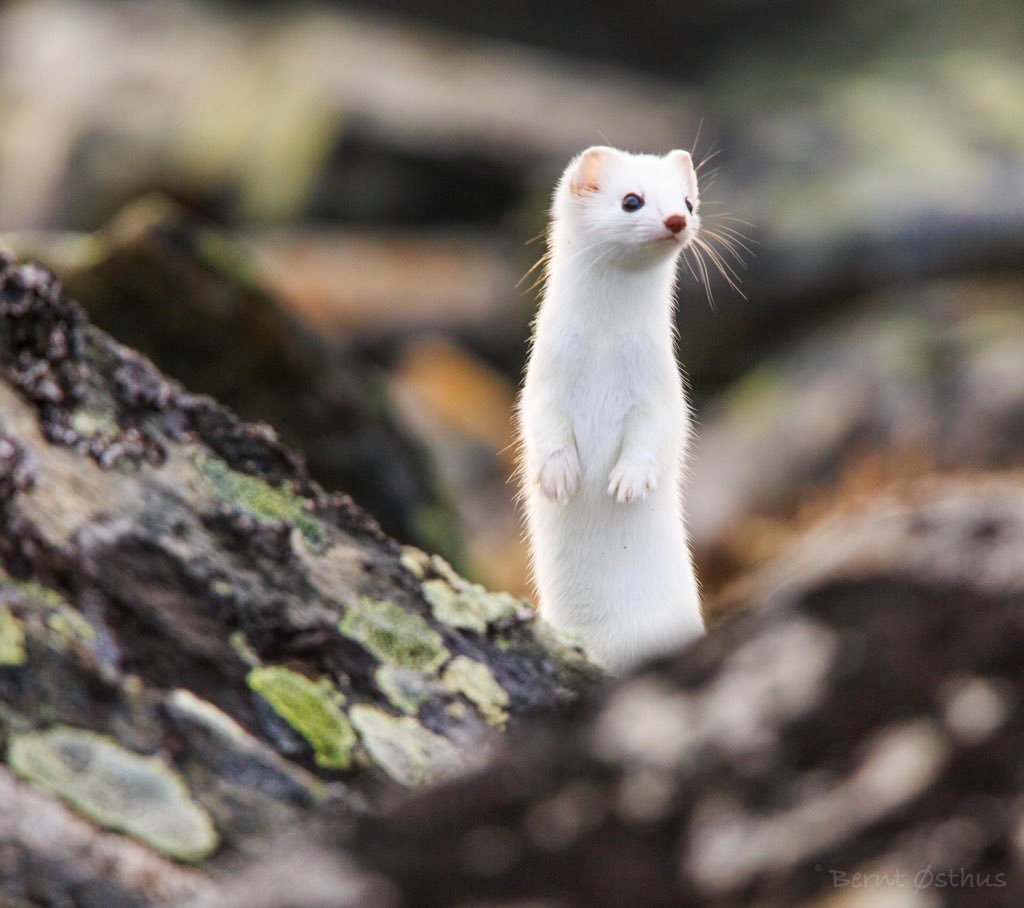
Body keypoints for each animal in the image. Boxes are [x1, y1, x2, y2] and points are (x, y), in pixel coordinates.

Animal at [520, 143, 704, 667]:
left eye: (687, 203)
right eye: (631, 200)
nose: (676, 221)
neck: (604, 347)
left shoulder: (662, 388)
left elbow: (658, 433)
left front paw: (629, 480)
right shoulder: (544, 378)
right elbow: (540, 423)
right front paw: (558, 475)